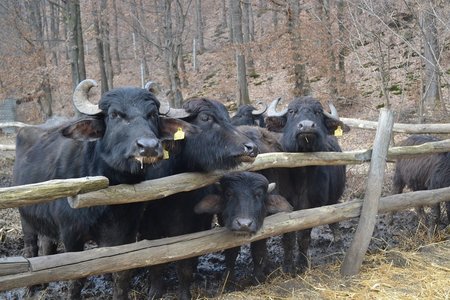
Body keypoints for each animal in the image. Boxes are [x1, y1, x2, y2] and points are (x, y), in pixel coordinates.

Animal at [13, 78, 193, 298]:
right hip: (26, 218)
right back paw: (30, 290)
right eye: (114, 114)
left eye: (152, 114)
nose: (149, 146)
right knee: (31, 250)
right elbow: (76, 277)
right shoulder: (71, 234)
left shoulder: (124, 232)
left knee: (48, 246)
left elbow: (121, 274)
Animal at [139, 97, 258, 298]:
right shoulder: (149, 227)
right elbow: (155, 263)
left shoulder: (189, 227)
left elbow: (185, 265)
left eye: (227, 117)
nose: (251, 148)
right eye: (205, 117)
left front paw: (184, 293)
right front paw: (154, 290)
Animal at [264, 96, 348, 274]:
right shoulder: (286, 206)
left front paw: (302, 264)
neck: (301, 175)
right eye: (291, 111)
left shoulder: (312, 206)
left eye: (318, 112)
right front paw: (288, 266)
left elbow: (304, 236)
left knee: (335, 220)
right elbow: (288, 238)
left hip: (334, 198)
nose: (307, 126)